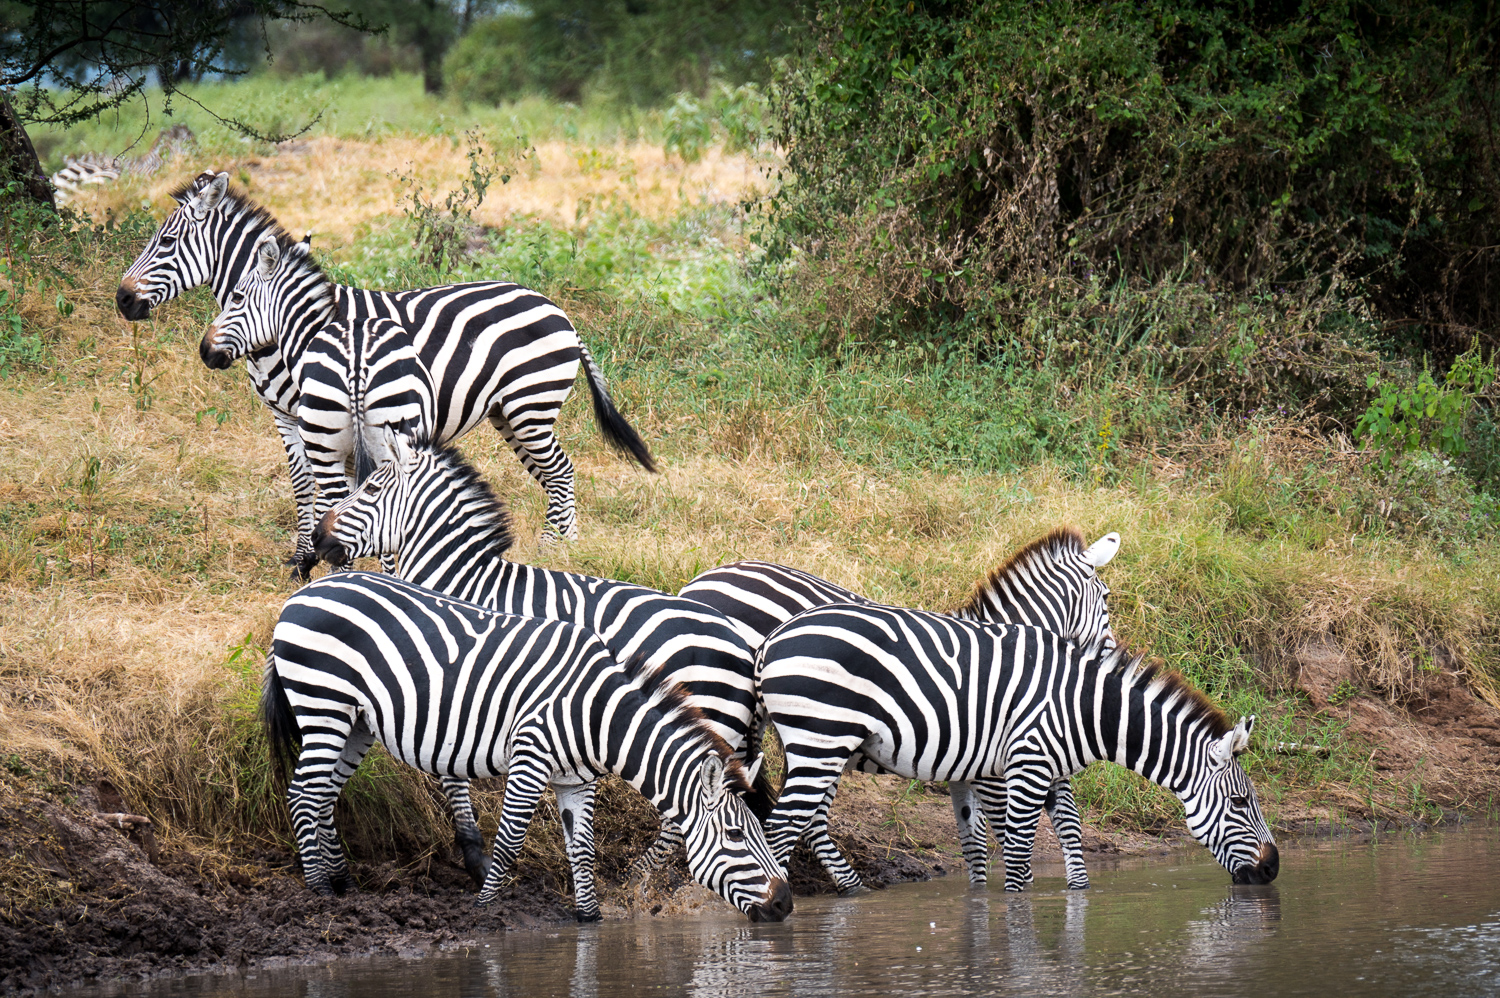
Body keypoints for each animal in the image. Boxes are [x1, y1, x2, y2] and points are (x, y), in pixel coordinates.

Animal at [117, 172, 651, 576]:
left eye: (166, 241)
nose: (122, 300)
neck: (294, 331)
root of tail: (557, 310)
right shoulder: (287, 418)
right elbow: (305, 485)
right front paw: (303, 558)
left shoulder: (318, 419)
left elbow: (337, 491)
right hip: (508, 412)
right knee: (551, 474)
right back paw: (561, 549)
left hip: (530, 407)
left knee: (560, 471)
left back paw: (560, 551)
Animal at [265, 564, 798, 924]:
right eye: (737, 836)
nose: (786, 904)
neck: (597, 713)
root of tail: (307, 590)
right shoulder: (529, 760)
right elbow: (508, 844)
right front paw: (484, 909)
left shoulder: (576, 781)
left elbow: (581, 849)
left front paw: (589, 919)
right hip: (323, 703)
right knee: (303, 794)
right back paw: (320, 892)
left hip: (356, 722)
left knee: (324, 795)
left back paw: (344, 883)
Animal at [306, 429, 774, 888]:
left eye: (370, 488)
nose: (316, 540)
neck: (467, 585)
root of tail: (743, 647)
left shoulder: (458, 684)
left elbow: (451, 769)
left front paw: (474, 852)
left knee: (684, 814)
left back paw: (634, 879)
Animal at [675, 525, 1122, 888]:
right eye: (1105, 598)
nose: (1111, 664)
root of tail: (694, 586)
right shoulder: (1006, 756)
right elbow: (1052, 825)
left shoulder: (972, 761)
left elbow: (978, 839)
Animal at [756, 603, 1272, 888]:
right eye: (1241, 803)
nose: (1273, 871)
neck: (1084, 708)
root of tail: (772, 640)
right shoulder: (1029, 762)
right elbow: (1020, 853)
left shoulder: (1041, 769)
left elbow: (1060, 835)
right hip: (821, 737)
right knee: (781, 828)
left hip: (816, 744)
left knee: (799, 821)